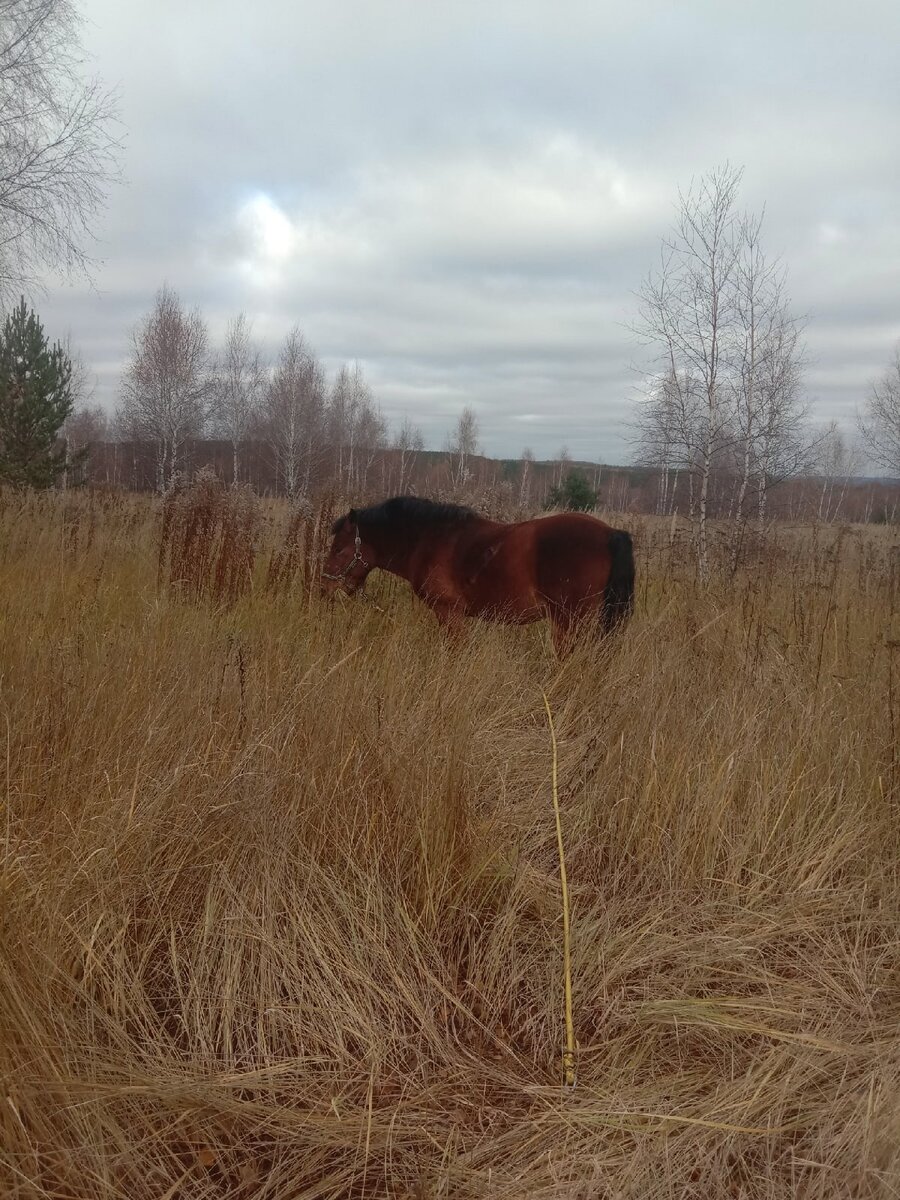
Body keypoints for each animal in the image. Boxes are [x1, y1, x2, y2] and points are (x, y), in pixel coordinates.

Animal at [321, 496, 633, 657]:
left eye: (338, 549)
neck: (429, 538)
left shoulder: (449, 613)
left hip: (569, 622)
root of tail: (610, 533)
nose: (324, 587)